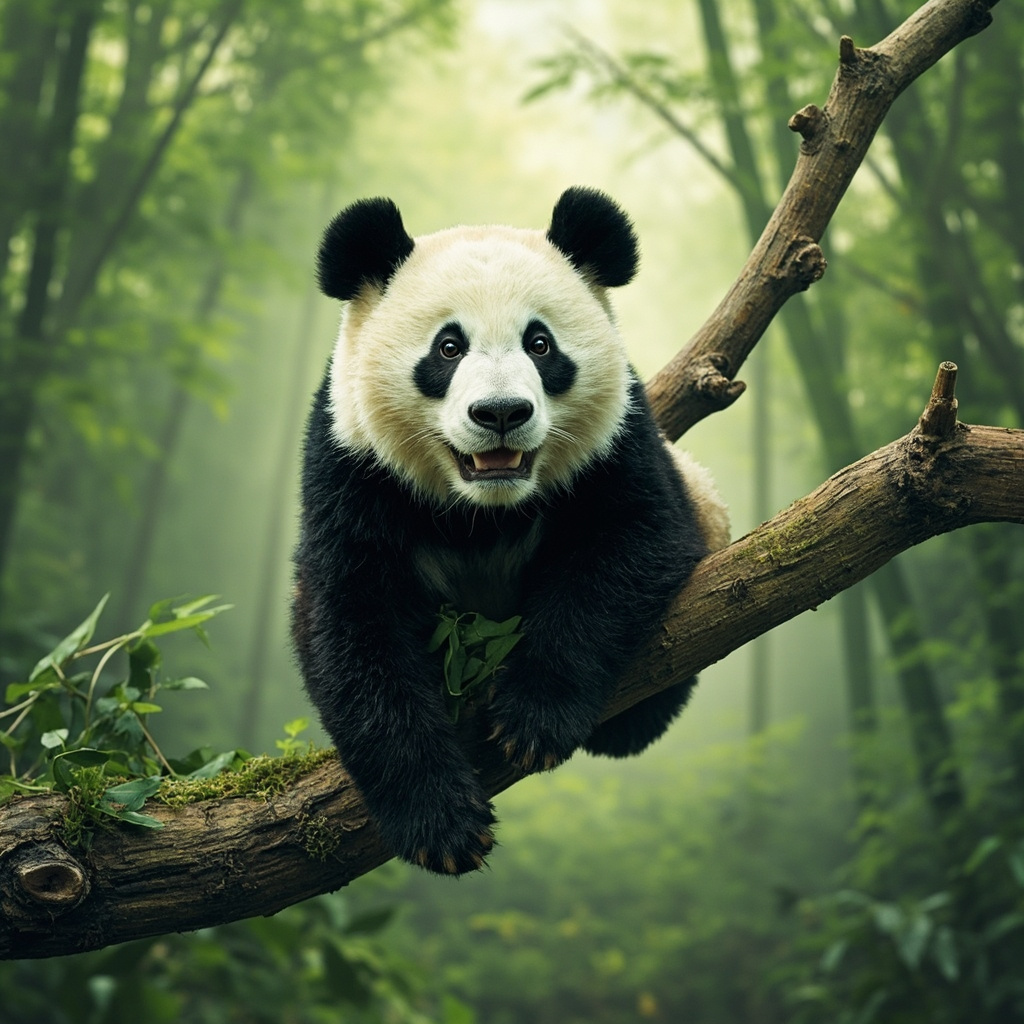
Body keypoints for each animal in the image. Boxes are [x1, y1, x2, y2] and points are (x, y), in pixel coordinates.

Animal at [291, 187, 728, 875]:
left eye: (540, 343)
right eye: (448, 348)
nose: (501, 413)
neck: (484, 507)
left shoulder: (620, 440)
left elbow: (633, 544)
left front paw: (532, 719)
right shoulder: (349, 465)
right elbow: (353, 624)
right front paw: (442, 825)